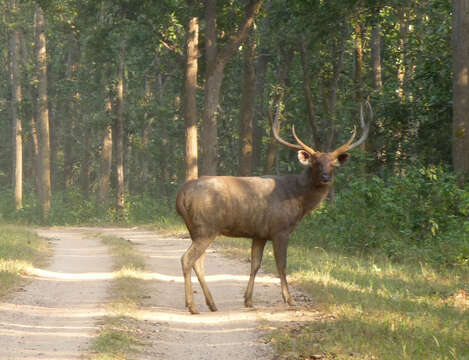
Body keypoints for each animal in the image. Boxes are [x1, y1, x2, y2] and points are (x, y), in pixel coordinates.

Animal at [176, 105, 370, 314]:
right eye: (316, 162)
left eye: (333, 164)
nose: (326, 177)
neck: (299, 200)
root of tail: (180, 196)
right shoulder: (280, 230)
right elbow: (282, 265)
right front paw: (289, 300)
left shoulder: (259, 234)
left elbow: (255, 265)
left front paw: (248, 301)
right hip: (206, 227)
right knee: (187, 259)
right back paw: (192, 306)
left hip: (196, 229)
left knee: (198, 263)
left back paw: (211, 304)